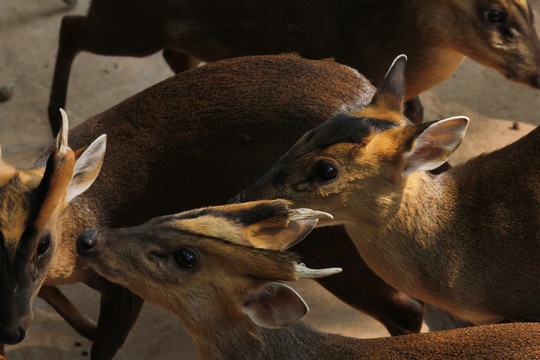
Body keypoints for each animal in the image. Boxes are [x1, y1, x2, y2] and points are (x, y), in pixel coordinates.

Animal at [0, 54, 424, 358]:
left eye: (43, 244)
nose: (12, 331)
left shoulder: (123, 290)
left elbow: (103, 346)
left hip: (336, 245)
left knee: (408, 308)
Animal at [46, 0, 540, 134]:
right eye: (493, 14)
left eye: (531, 8)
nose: (537, 71)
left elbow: (416, 116)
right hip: (130, 26)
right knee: (71, 28)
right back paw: (54, 116)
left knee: (176, 55)